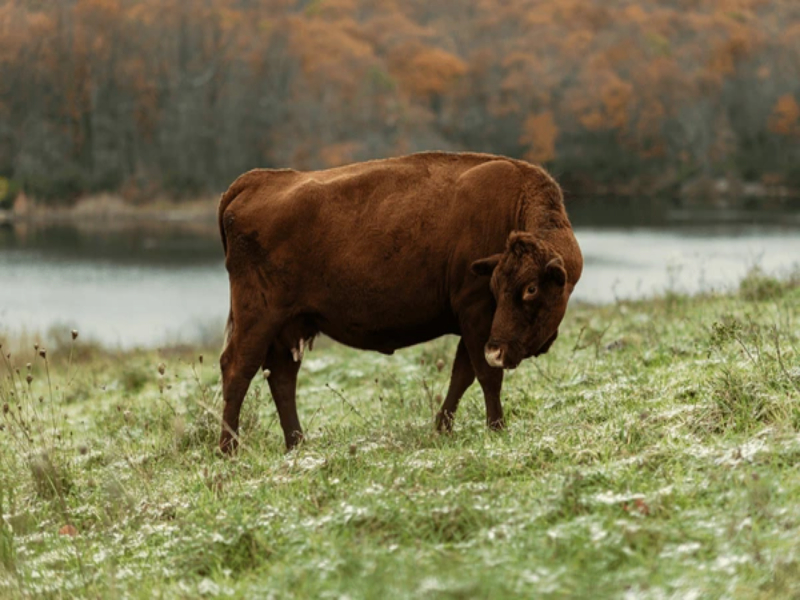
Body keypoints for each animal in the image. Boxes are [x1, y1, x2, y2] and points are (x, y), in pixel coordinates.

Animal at [219, 152, 580, 452]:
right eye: (498, 285)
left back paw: (296, 444)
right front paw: (497, 429)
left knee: (281, 377)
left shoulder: (476, 326)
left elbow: (462, 374)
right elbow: (486, 375)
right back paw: (229, 450)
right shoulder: (476, 313)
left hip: (289, 326)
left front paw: (443, 429)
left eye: (530, 288)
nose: (498, 351)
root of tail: (256, 180)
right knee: (237, 368)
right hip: (258, 319)